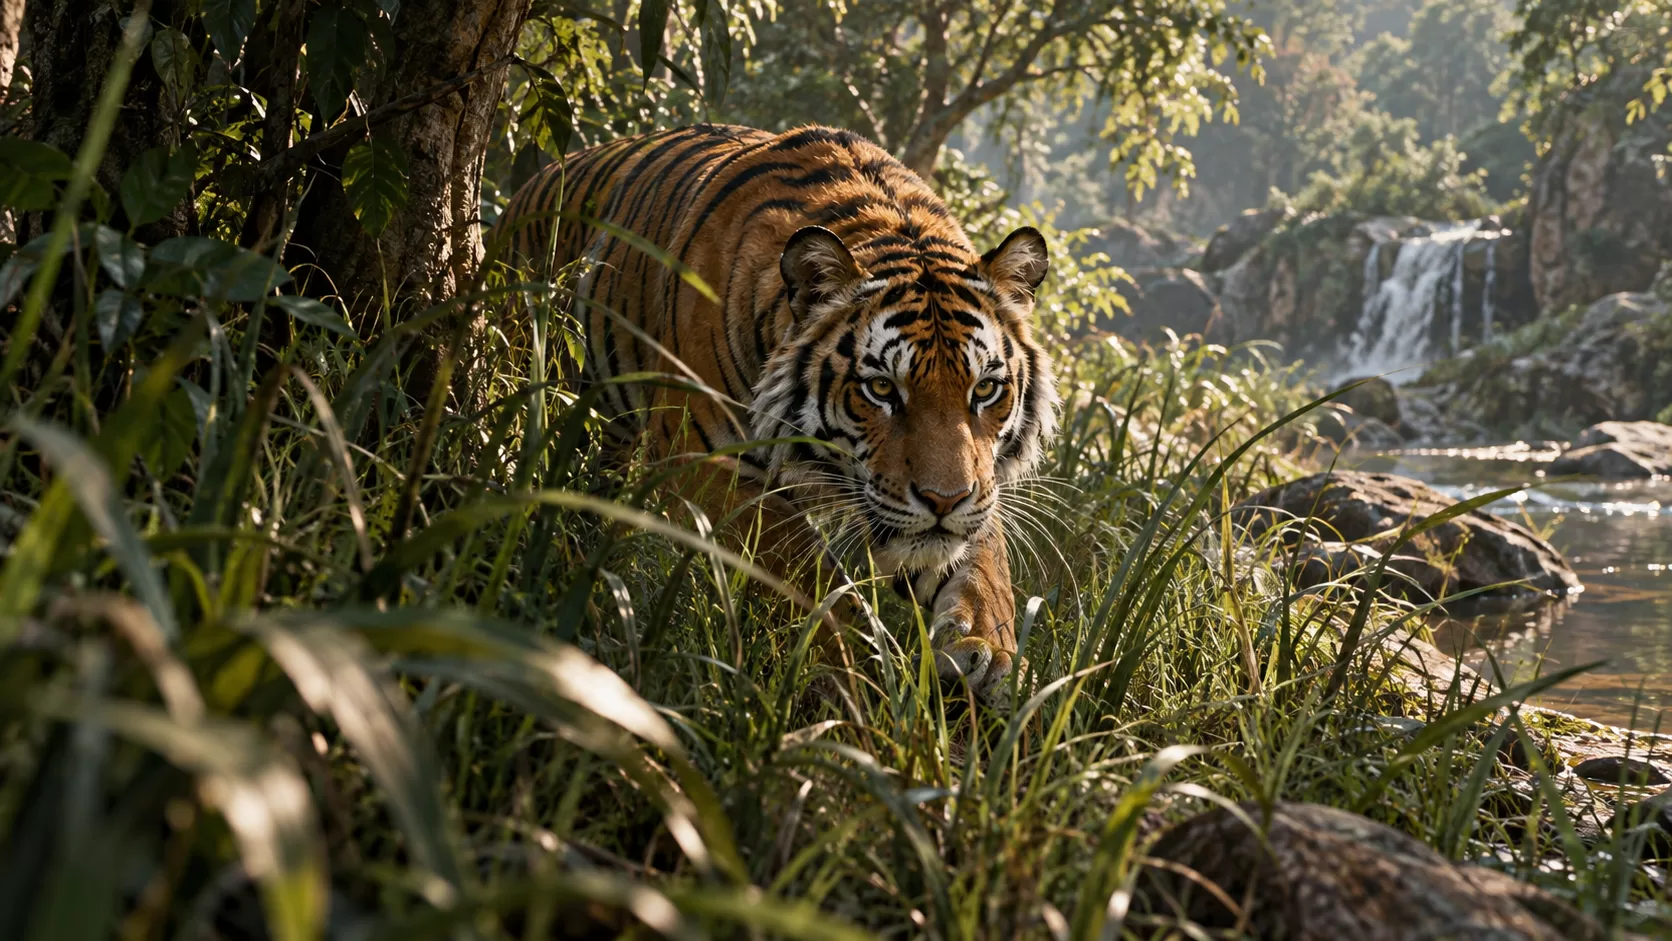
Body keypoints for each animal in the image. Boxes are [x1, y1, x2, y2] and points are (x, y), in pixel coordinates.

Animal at [499, 124, 1059, 704]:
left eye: (985, 389)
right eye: (882, 388)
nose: (944, 501)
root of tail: (538, 176)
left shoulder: (970, 493)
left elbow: (986, 572)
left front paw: (989, 656)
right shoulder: (709, 465)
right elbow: (812, 581)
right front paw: (867, 675)